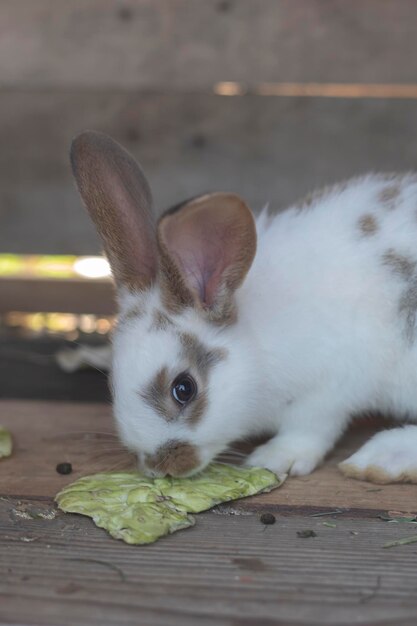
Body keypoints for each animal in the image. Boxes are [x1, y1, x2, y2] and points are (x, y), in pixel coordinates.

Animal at [70, 129, 417, 480]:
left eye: (183, 389)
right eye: (113, 381)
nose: (158, 466)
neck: (257, 343)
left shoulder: (328, 391)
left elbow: (309, 430)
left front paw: (275, 458)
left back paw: (380, 459)